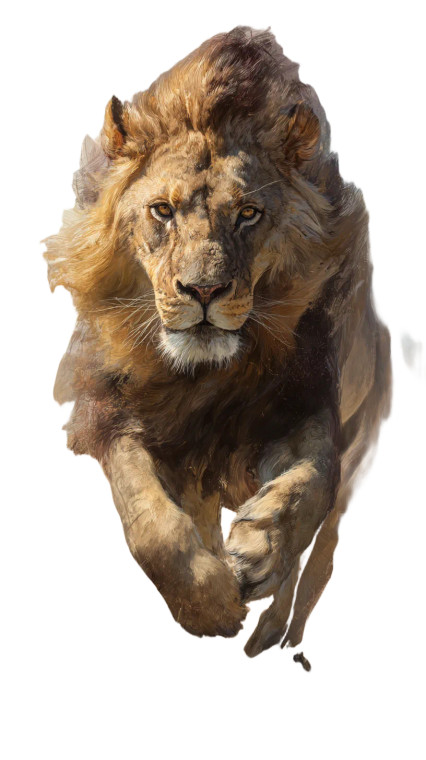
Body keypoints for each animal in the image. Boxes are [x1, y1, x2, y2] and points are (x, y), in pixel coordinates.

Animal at [44, 26, 391, 657]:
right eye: (162, 210)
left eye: (249, 213)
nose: (203, 290)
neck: (204, 379)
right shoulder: (110, 413)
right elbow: (150, 523)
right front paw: (207, 603)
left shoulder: (305, 406)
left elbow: (312, 481)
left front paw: (257, 551)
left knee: (320, 553)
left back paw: (276, 634)